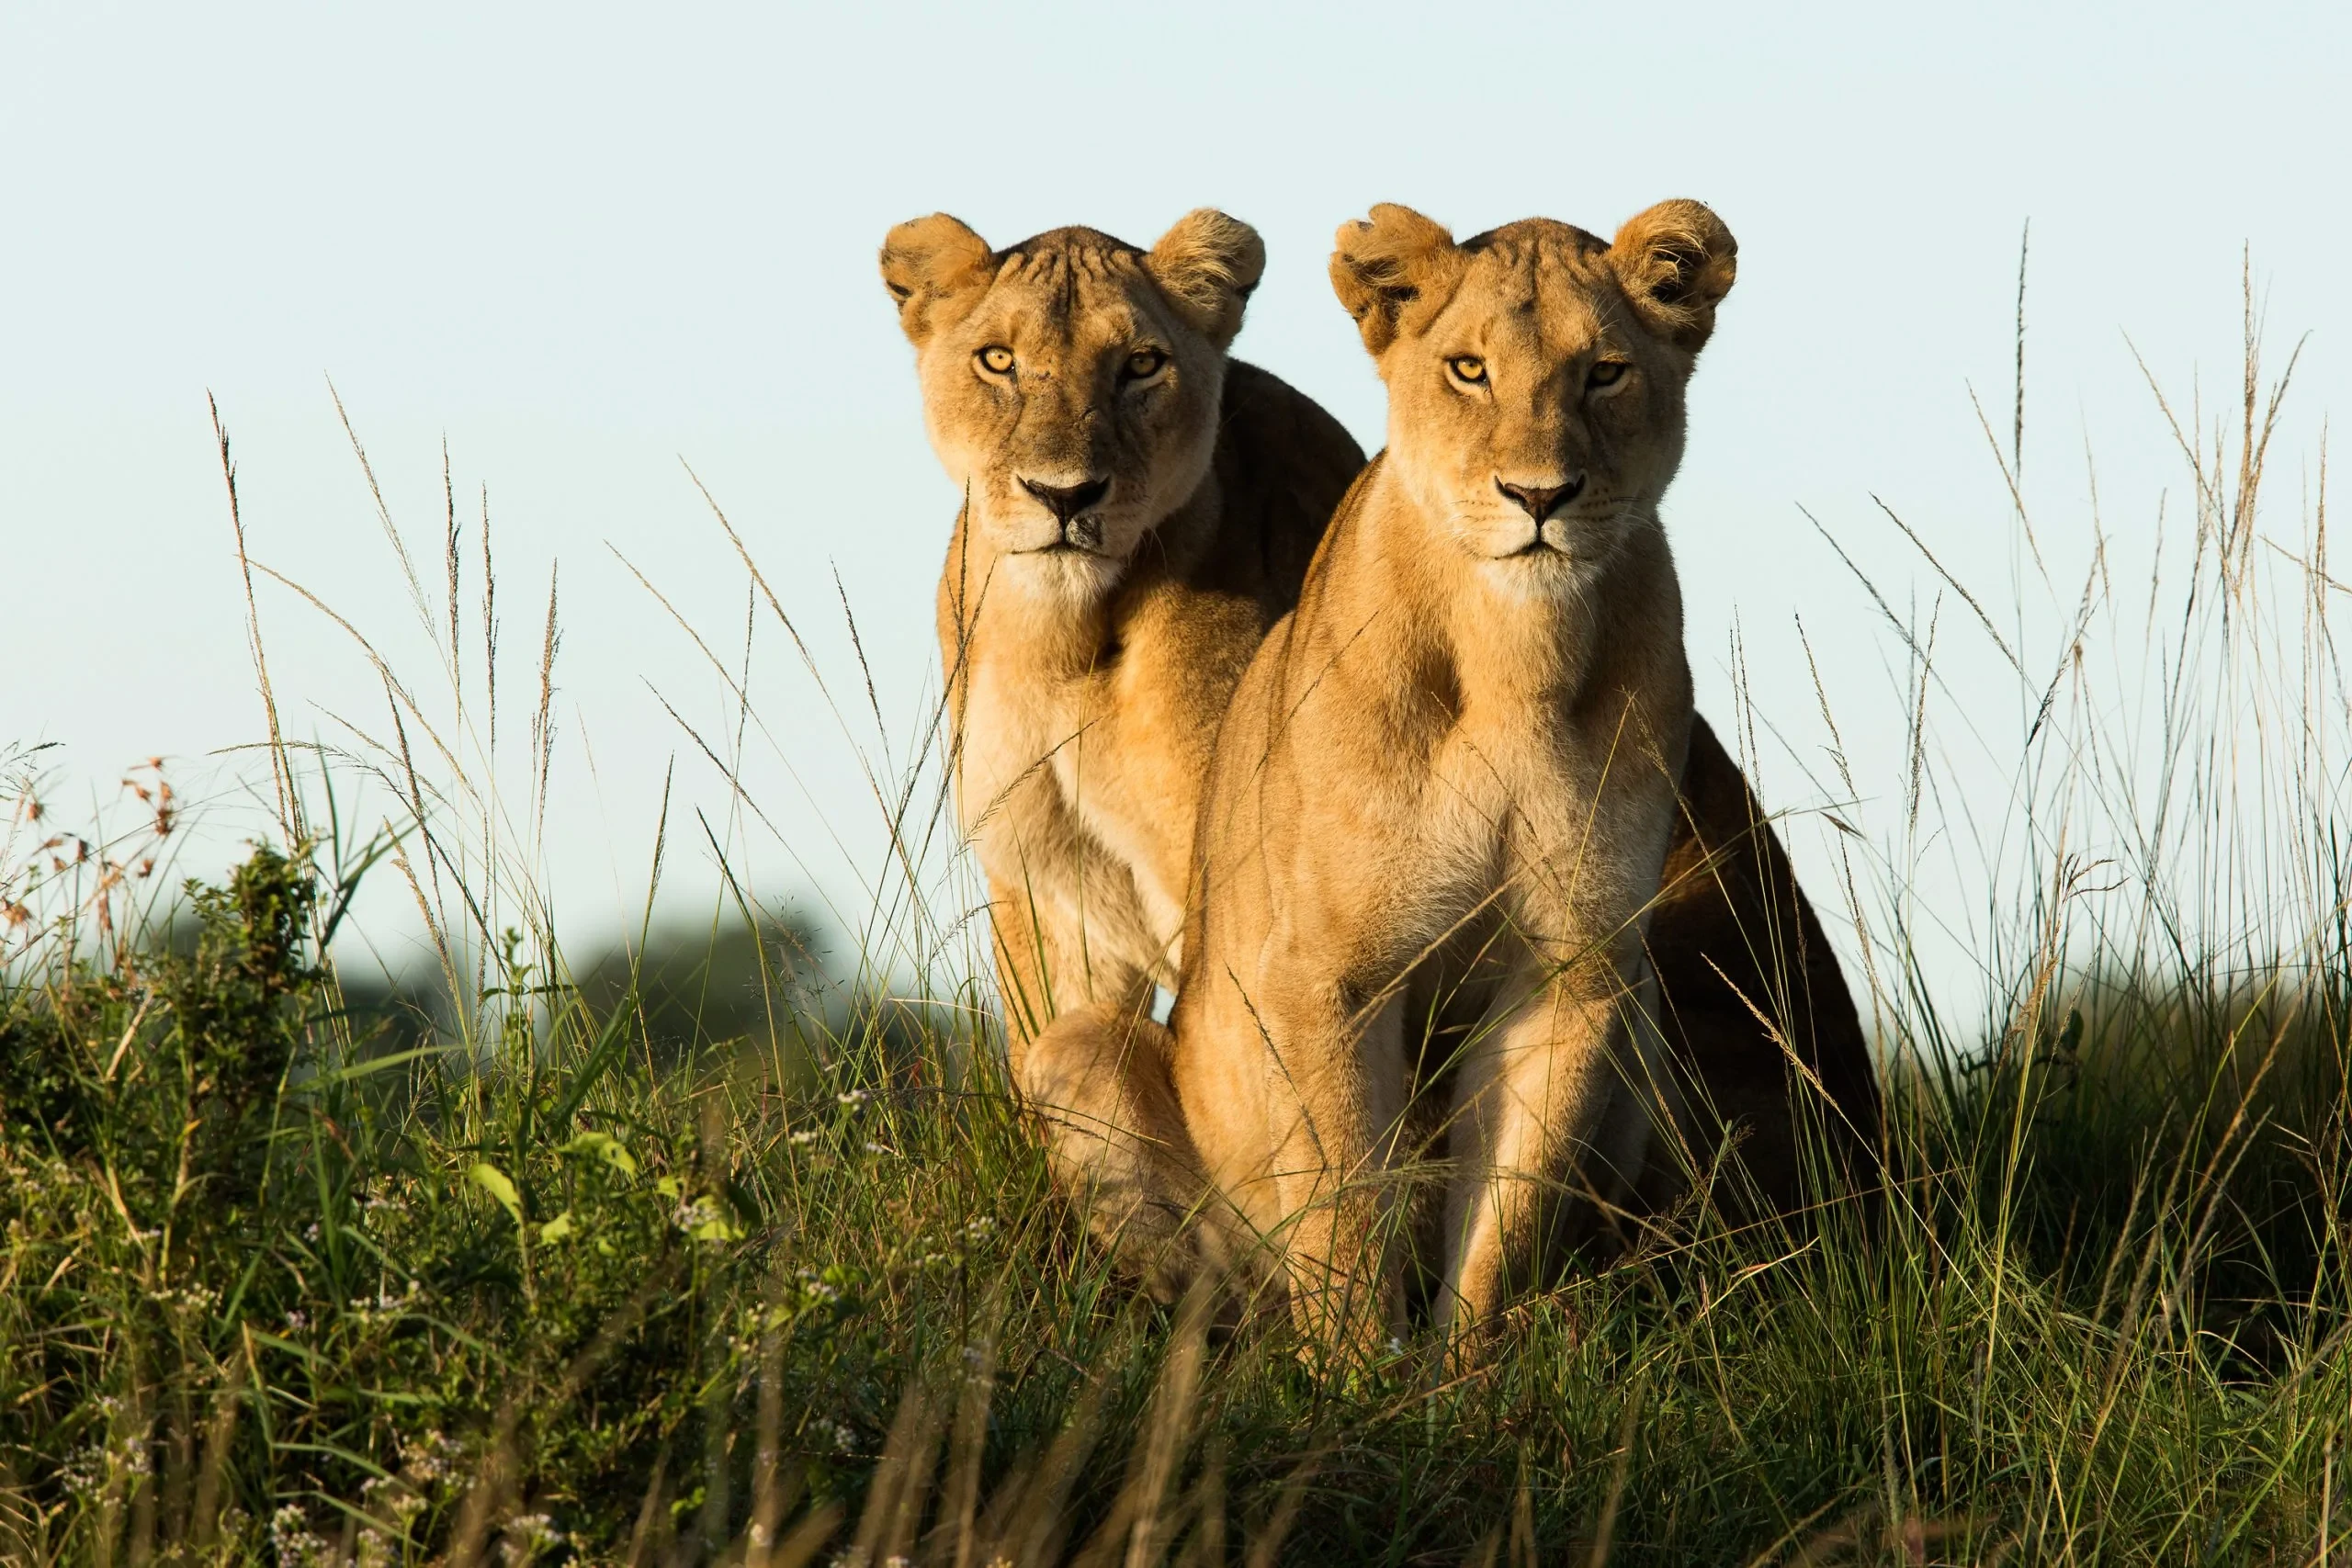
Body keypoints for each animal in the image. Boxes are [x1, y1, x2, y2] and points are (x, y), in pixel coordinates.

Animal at [879, 211, 1365, 1286]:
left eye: (1141, 363)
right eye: (998, 359)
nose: (1065, 495)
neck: (1064, 634)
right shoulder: (1044, 885)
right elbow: (1040, 1050)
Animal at [1053, 200, 1880, 1350]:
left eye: (1604, 373)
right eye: (1468, 370)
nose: (1539, 495)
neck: (1512, 657)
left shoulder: (1574, 969)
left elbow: (1507, 1210)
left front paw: (1462, 1370)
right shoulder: (1327, 975)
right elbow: (1346, 1205)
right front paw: (1357, 1375)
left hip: (1649, 1012)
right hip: (1080, 1053)